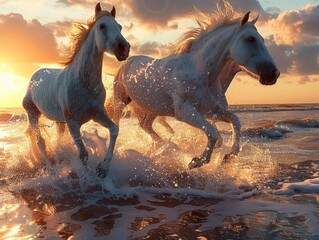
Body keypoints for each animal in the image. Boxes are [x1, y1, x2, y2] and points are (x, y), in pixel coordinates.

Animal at [22, 2, 131, 177]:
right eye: (102, 26)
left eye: (120, 27)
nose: (124, 48)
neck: (84, 83)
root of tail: (35, 75)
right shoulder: (73, 123)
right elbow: (83, 154)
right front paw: (87, 178)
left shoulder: (97, 114)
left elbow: (114, 129)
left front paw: (103, 168)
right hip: (32, 114)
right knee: (40, 141)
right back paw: (51, 168)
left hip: (58, 120)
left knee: (58, 138)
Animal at [107, 3, 280, 169]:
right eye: (251, 39)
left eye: (262, 39)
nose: (274, 73)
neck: (201, 73)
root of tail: (128, 62)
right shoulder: (185, 111)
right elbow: (213, 133)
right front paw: (197, 161)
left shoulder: (210, 110)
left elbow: (235, 121)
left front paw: (229, 155)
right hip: (121, 102)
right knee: (118, 124)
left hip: (152, 108)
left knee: (146, 126)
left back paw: (162, 146)